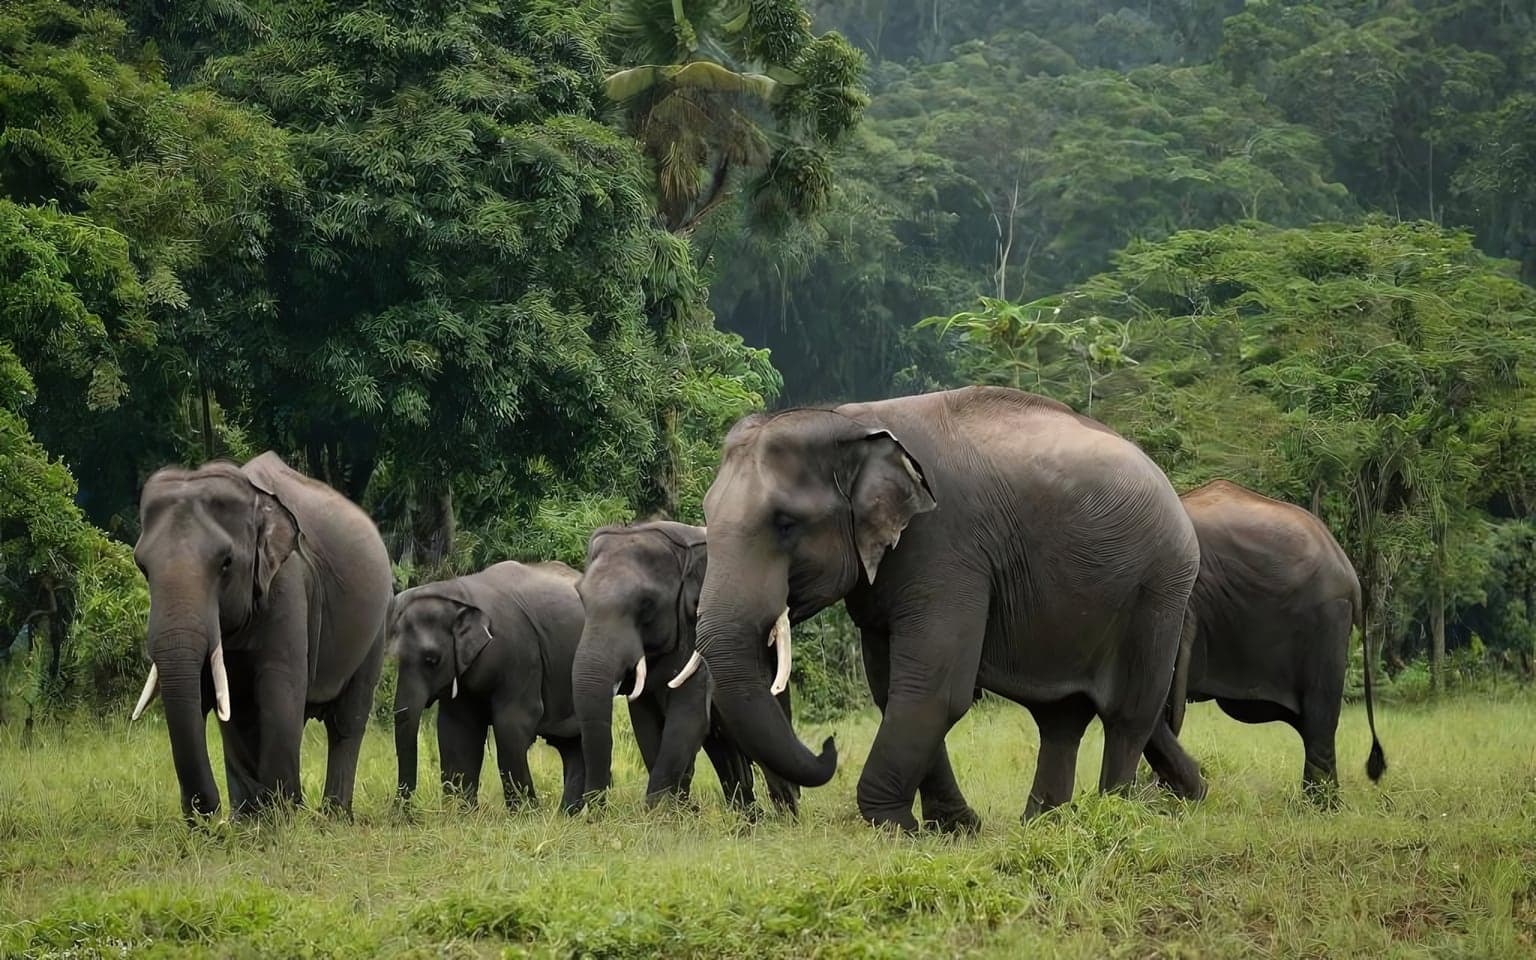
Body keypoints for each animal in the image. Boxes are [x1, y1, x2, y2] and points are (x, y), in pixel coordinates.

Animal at [131, 452, 392, 820]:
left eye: (225, 563)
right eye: (142, 567)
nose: (210, 816)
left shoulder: (288, 583)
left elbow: (279, 690)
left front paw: (283, 818)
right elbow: (226, 704)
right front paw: (250, 822)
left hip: (377, 626)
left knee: (346, 720)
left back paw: (333, 817)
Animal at [389, 560, 586, 812]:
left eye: (432, 660)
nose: (403, 813)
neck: (458, 596)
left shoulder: (520, 653)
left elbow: (512, 723)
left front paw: (526, 813)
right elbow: (458, 729)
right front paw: (462, 812)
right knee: (571, 744)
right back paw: (566, 814)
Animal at [569, 520, 799, 815]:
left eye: (646, 604)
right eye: (581, 597)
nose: (592, 812)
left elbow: (687, 715)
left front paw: (656, 814)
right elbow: (645, 723)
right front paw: (674, 814)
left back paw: (785, 816)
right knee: (728, 756)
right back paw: (746, 817)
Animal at [677, 385, 1208, 832]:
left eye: (785, 523)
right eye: (705, 515)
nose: (828, 744)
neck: (851, 419)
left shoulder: (946, 546)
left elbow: (933, 686)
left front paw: (895, 826)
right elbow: (891, 684)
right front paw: (955, 828)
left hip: (1159, 587)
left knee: (1128, 712)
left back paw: (1116, 812)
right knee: (1062, 716)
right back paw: (1052, 822)